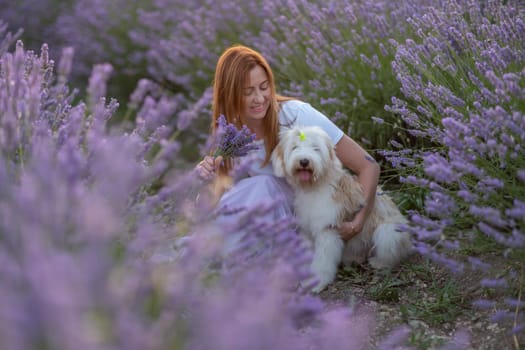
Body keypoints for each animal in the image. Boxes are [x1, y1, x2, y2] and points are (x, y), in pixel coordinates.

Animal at [272, 126, 412, 292]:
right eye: (295, 147)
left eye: (316, 148)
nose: (304, 161)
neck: (314, 187)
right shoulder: (306, 230)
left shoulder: (327, 231)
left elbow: (322, 260)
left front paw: (317, 282)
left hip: (388, 231)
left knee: (391, 253)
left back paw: (379, 262)